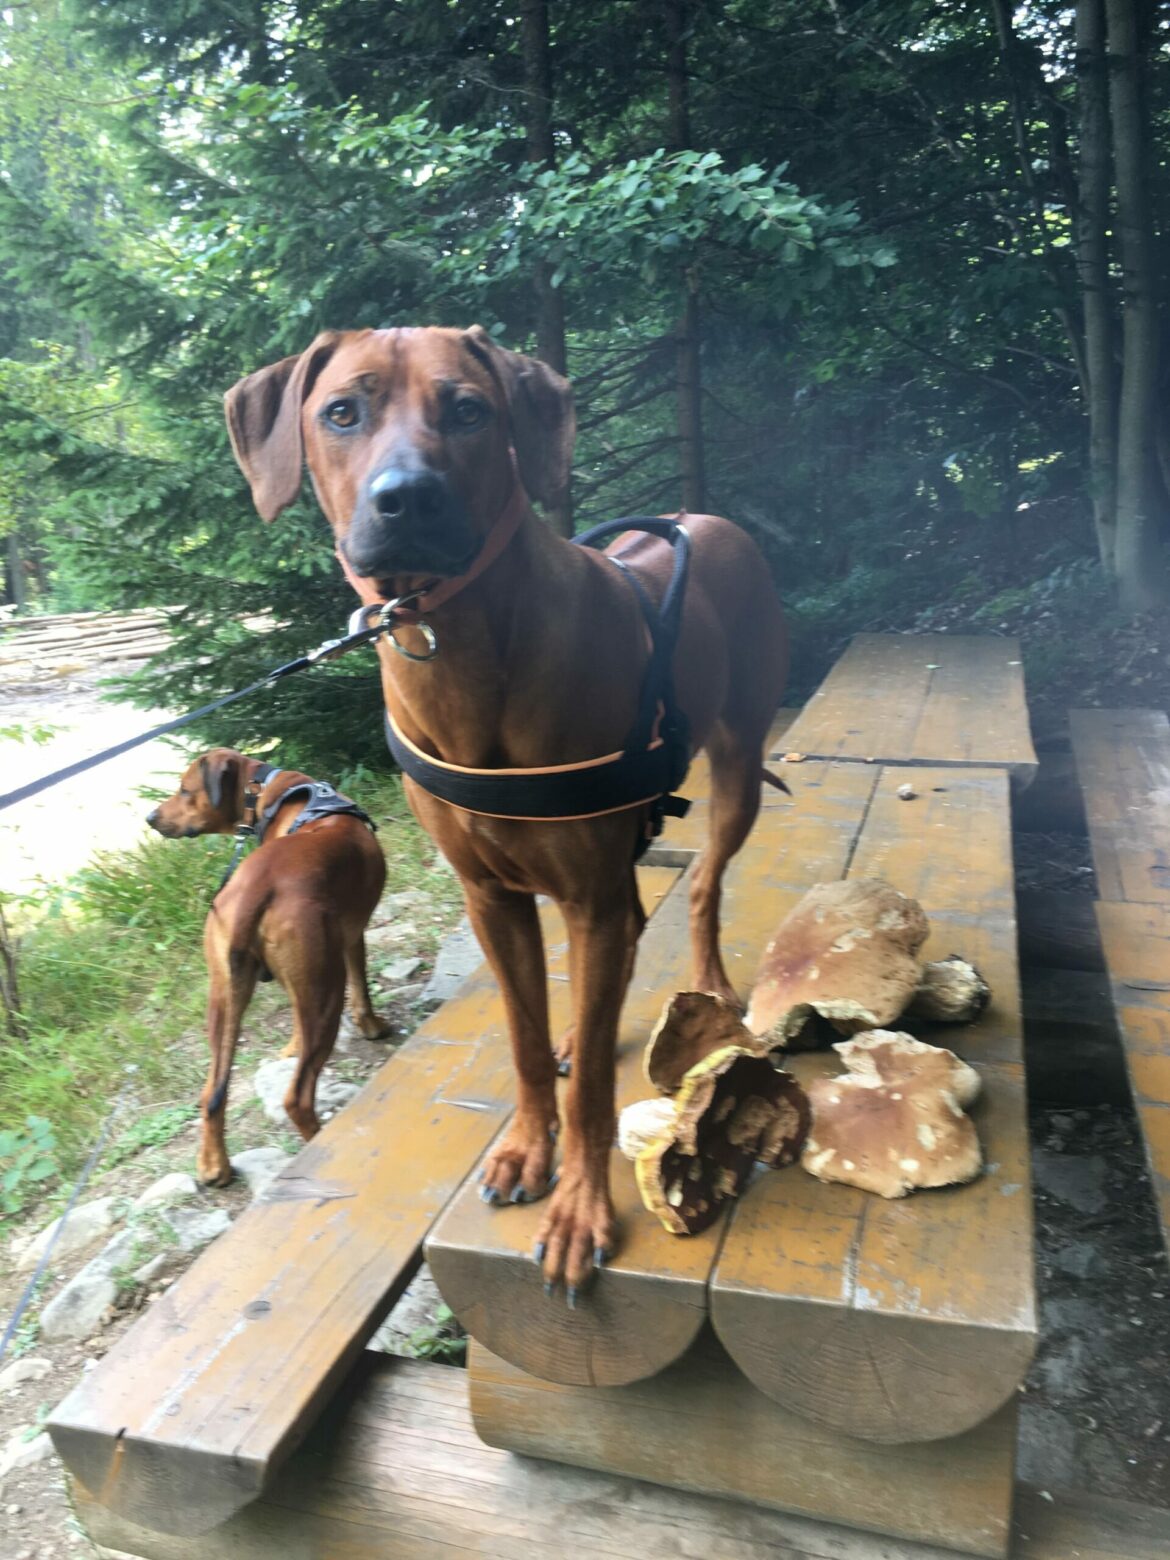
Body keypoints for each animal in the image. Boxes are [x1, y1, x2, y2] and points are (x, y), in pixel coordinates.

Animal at [148, 748, 389, 1185]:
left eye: (184, 790)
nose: (150, 818)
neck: (269, 793)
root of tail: (254, 889)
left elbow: (294, 1018)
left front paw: (290, 1046)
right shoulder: (352, 936)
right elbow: (362, 988)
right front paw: (373, 1027)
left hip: (224, 996)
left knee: (210, 1093)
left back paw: (214, 1165)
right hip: (327, 992)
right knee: (297, 1098)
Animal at [223, 327, 788, 1295]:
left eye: (468, 410)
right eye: (342, 412)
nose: (406, 499)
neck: (460, 650)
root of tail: (708, 520)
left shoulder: (585, 892)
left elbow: (596, 1085)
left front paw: (580, 1208)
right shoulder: (492, 896)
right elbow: (525, 1041)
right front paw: (531, 1145)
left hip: (737, 767)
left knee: (705, 883)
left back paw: (709, 980)